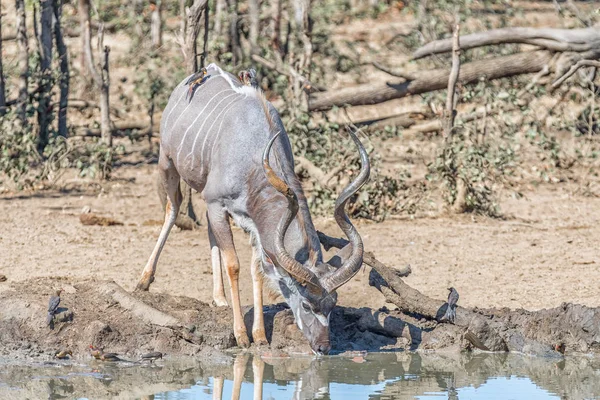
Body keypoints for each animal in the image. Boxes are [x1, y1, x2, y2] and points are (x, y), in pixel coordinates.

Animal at [137, 64, 370, 354]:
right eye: (307, 304)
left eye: (333, 303)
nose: (323, 347)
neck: (254, 152)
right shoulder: (217, 202)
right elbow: (234, 265)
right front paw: (241, 335)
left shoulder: (251, 222)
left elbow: (257, 269)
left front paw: (259, 336)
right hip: (166, 161)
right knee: (172, 208)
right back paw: (144, 279)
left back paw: (219, 297)